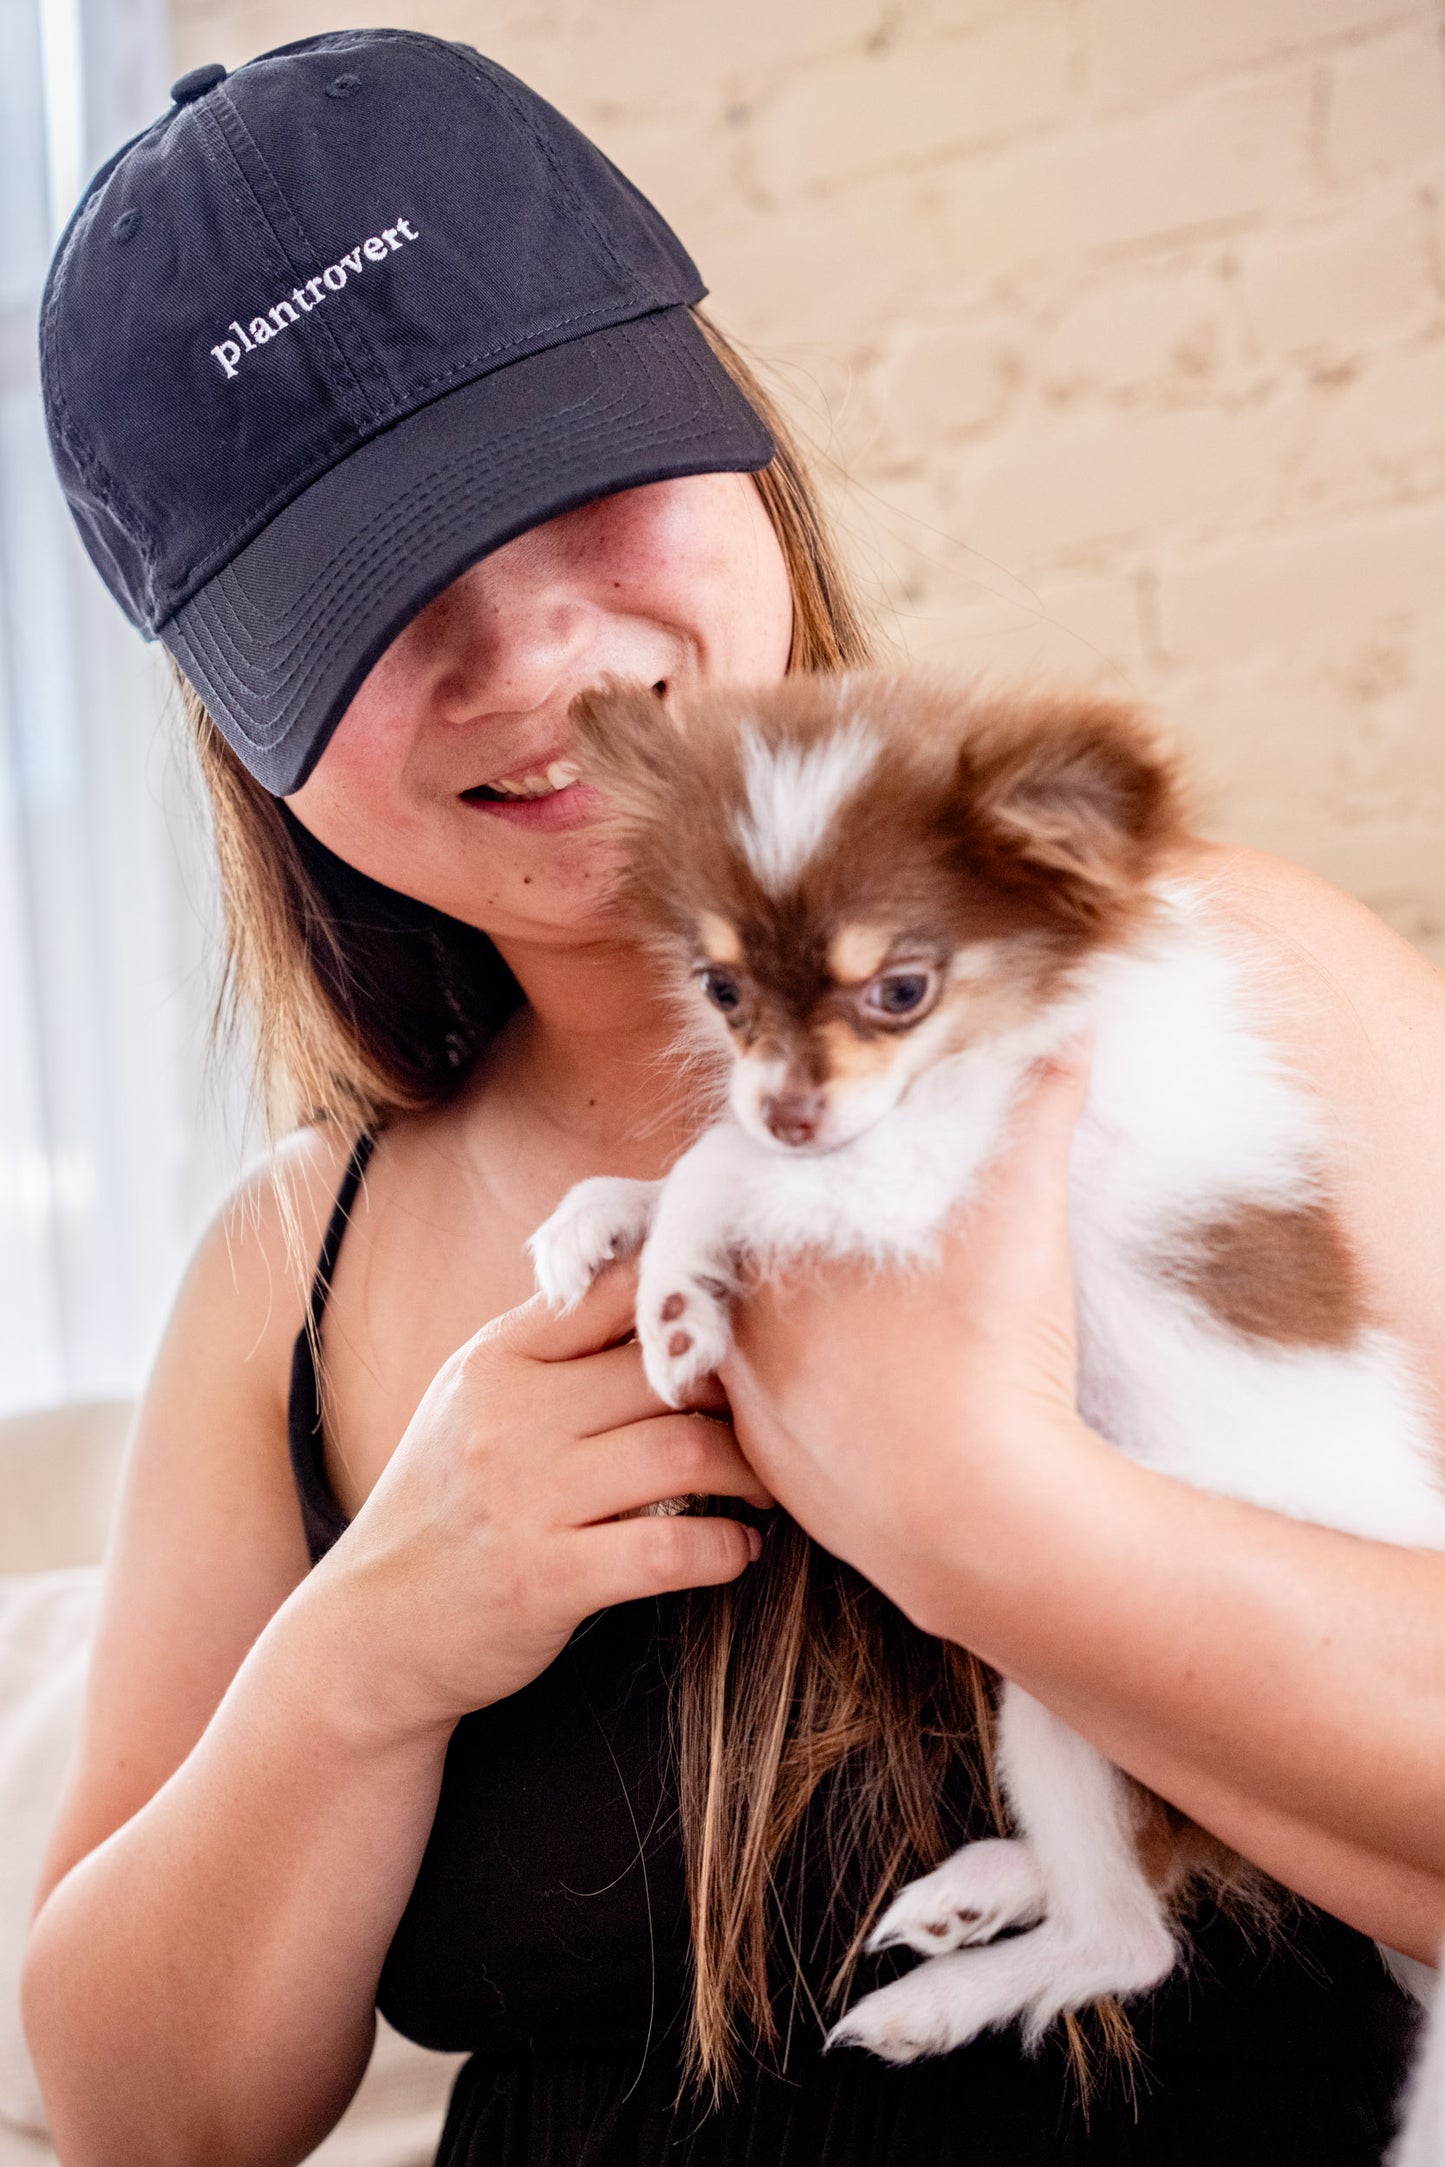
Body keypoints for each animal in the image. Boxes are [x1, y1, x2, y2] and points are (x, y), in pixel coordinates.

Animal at [528, 671, 1445, 2062]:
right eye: (721, 990)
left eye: (900, 990)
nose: (790, 1107)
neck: (980, 1048)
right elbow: (707, 1151)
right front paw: (593, 1218)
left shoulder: (923, 1175)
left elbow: (718, 1162)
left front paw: (675, 1293)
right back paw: (977, 1893)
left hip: (1091, 1697)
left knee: (1130, 1934)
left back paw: (937, 1998)